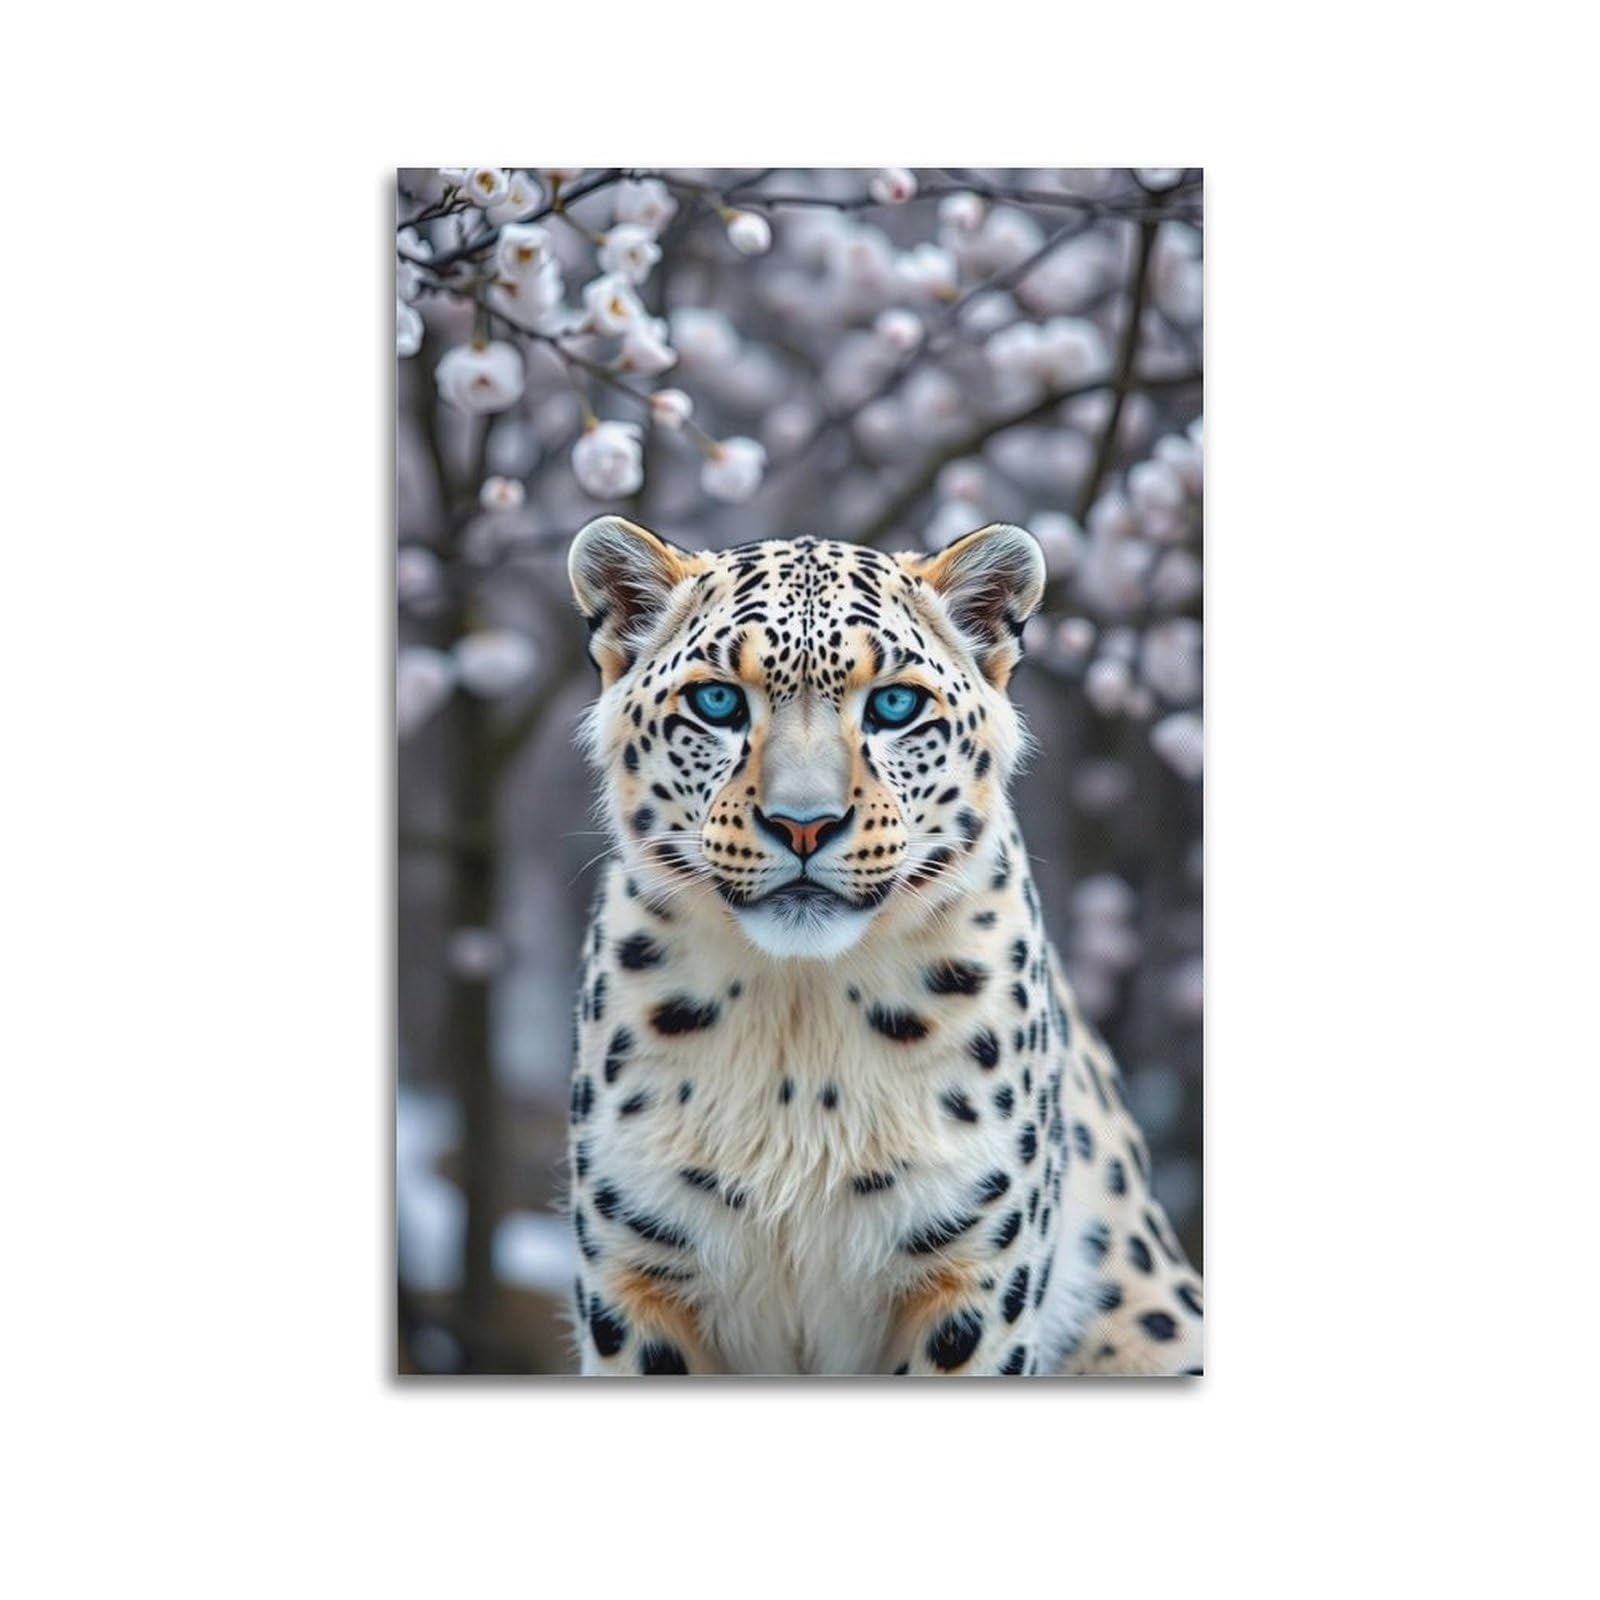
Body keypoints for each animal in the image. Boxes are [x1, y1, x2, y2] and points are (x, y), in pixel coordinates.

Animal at [563, 514, 1202, 1376]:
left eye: (895, 705)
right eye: (717, 701)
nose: (804, 823)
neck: (797, 1023)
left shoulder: (972, 1281)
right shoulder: (638, 1280)